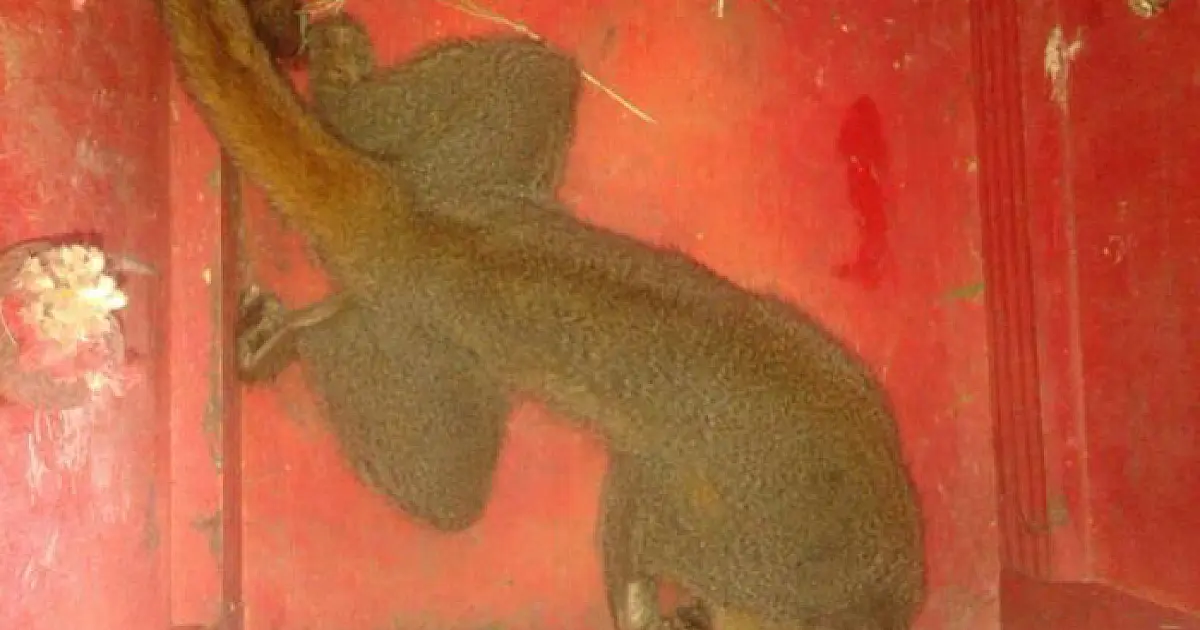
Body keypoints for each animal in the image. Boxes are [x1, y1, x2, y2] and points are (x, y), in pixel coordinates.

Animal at [157, 1, 927, 629]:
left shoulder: (852, 379)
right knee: (450, 492)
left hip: (461, 176)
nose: (697, 617)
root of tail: (408, 226)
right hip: (422, 336)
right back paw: (292, 341)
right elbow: (644, 502)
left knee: (539, 75)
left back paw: (339, 91)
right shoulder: (754, 558)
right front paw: (641, 608)